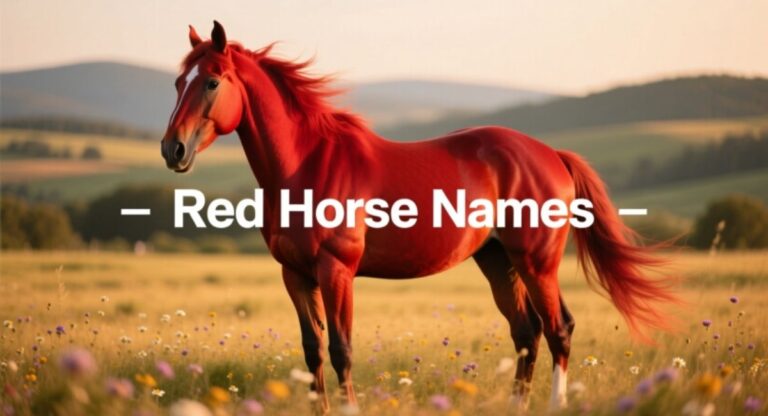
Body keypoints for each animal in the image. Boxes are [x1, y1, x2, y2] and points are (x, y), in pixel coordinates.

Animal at [161, 21, 677, 412]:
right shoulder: (295, 274)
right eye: (177, 83)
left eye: (211, 81)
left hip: (537, 262)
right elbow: (312, 354)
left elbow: (342, 351)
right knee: (527, 334)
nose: (173, 150)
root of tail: (551, 154)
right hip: (498, 261)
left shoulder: (336, 271)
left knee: (559, 331)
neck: (307, 164)